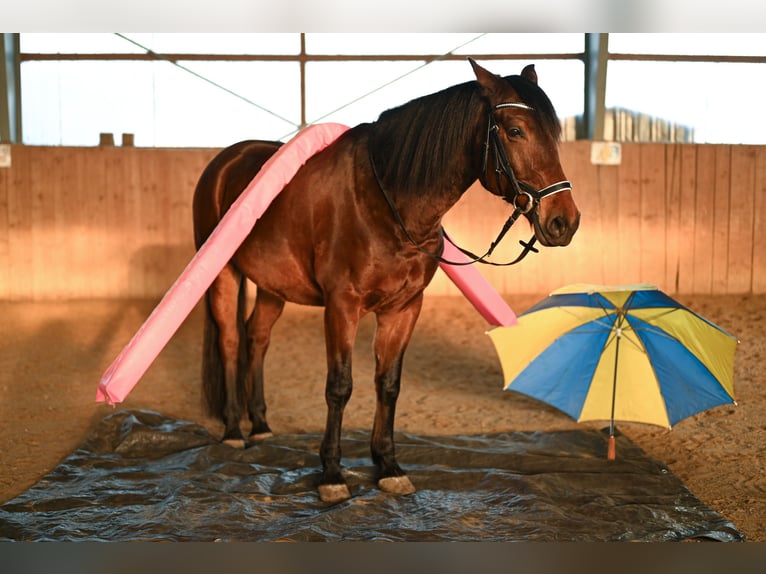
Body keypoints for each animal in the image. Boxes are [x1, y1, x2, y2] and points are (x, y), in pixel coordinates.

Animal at [194, 59, 584, 504]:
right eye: (516, 130)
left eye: (553, 133)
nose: (564, 221)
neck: (386, 202)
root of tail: (228, 158)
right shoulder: (342, 306)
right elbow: (340, 386)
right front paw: (332, 474)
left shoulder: (404, 307)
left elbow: (389, 384)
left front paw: (388, 466)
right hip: (223, 275)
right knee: (229, 341)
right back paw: (233, 430)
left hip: (273, 287)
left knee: (257, 338)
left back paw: (259, 425)